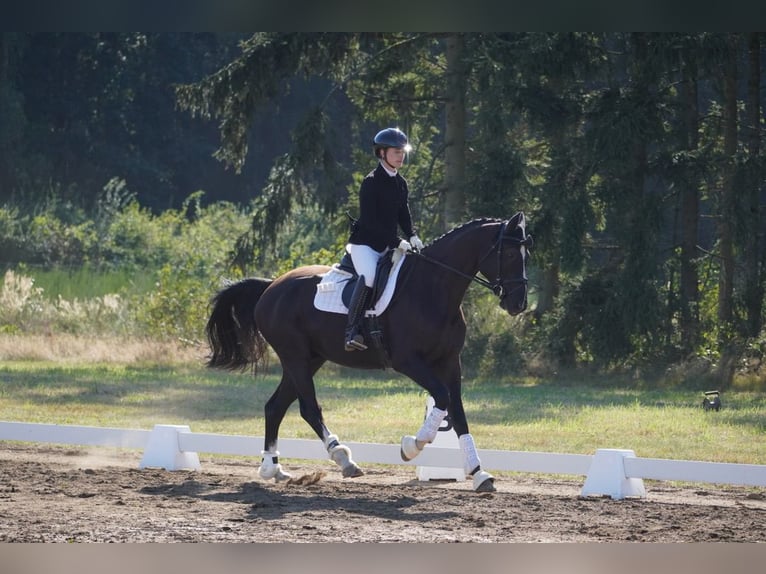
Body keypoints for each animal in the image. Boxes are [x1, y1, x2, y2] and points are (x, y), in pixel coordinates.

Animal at [207, 214, 536, 492]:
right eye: (508, 255)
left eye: (526, 256)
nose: (518, 303)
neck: (434, 289)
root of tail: (271, 286)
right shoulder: (408, 362)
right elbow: (442, 400)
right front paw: (411, 446)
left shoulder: (450, 363)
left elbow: (458, 413)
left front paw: (479, 474)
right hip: (295, 357)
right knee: (309, 408)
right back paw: (344, 460)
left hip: (308, 359)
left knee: (275, 407)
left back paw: (272, 469)